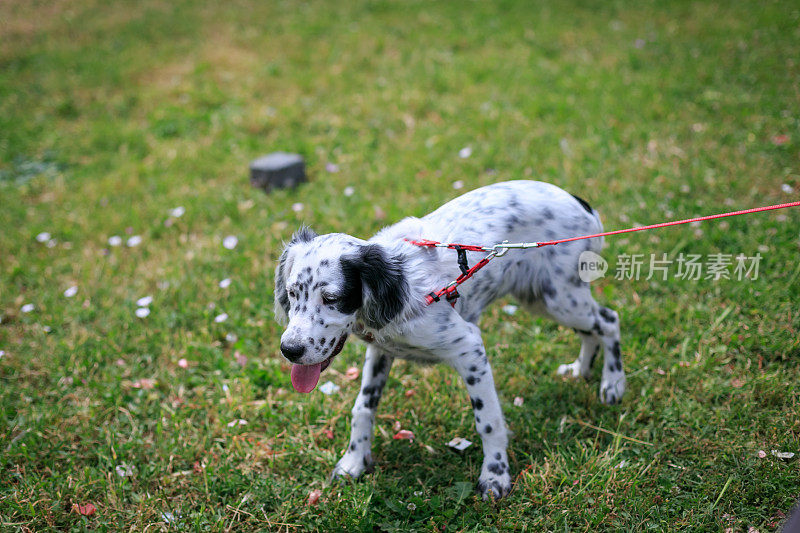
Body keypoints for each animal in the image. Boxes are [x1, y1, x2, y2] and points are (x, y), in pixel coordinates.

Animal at [276, 180, 624, 498]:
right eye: (292, 294)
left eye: (332, 299)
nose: (289, 350)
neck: (402, 286)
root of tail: (580, 203)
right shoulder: (381, 350)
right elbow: (362, 408)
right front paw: (354, 462)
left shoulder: (469, 347)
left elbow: (488, 420)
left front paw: (495, 475)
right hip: (542, 297)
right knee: (593, 329)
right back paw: (580, 369)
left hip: (560, 298)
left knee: (609, 321)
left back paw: (613, 384)